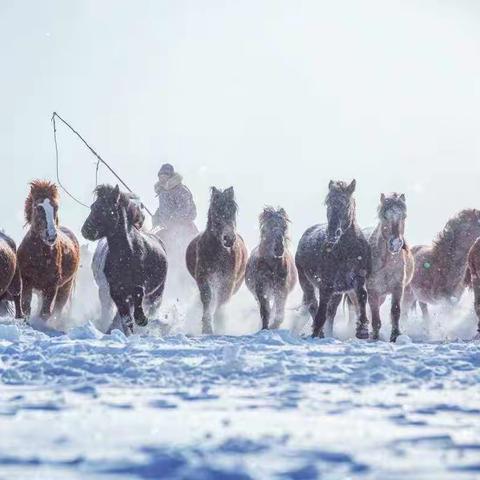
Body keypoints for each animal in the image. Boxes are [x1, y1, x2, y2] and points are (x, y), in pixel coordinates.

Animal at [17, 182, 79, 320]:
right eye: (37, 207)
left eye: (56, 207)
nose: (51, 235)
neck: (39, 256)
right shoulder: (27, 281)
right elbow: (26, 307)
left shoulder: (51, 286)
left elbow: (45, 312)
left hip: (65, 287)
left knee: (57, 309)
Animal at [80, 186, 167, 336]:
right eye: (93, 206)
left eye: (105, 209)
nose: (86, 230)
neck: (125, 255)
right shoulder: (115, 291)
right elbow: (126, 318)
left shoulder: (139, 285)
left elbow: (138, 295)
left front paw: (142, 319)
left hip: (157, 293)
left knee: (152, 307)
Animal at [186, 187, 248, 334]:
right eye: (215, 211)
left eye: (233, 210)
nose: (229, 239)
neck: (219, 252)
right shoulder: (203, 276)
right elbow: (207, 297)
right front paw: (207, 327)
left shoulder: (228, 281)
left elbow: (221, 300)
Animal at [296, 178, 372, 340]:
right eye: (328, 203)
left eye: (346, 203)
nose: (332, 233)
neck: (346, 251)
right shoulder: (326, 285)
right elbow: (321, 310)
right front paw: (316, 332)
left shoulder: (358, 278)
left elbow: (362, 296)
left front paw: (362, 330)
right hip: (306, 282)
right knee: (313, 304)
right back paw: (320, 332)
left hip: (337, 291)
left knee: (331, 311)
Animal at [364, 191, 412, 342]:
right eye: (384, 216)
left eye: (404, 216)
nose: (396, 244)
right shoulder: (372, 290)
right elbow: (375, 317)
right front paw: (375, 337)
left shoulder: (397, 288)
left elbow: (395, 312)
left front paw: (395, 335)